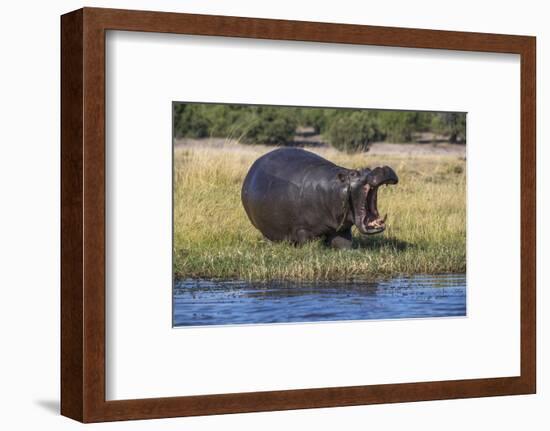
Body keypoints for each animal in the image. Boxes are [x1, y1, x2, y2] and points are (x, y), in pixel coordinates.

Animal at [240, 148, 396, 250]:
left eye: (368, 168)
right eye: (354, 173)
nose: (382, 168)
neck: (335, 188)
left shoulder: (341, 229)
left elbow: (344, 244)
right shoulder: (302, 229)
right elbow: (308, 244)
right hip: (265, 228)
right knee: (270, 237)